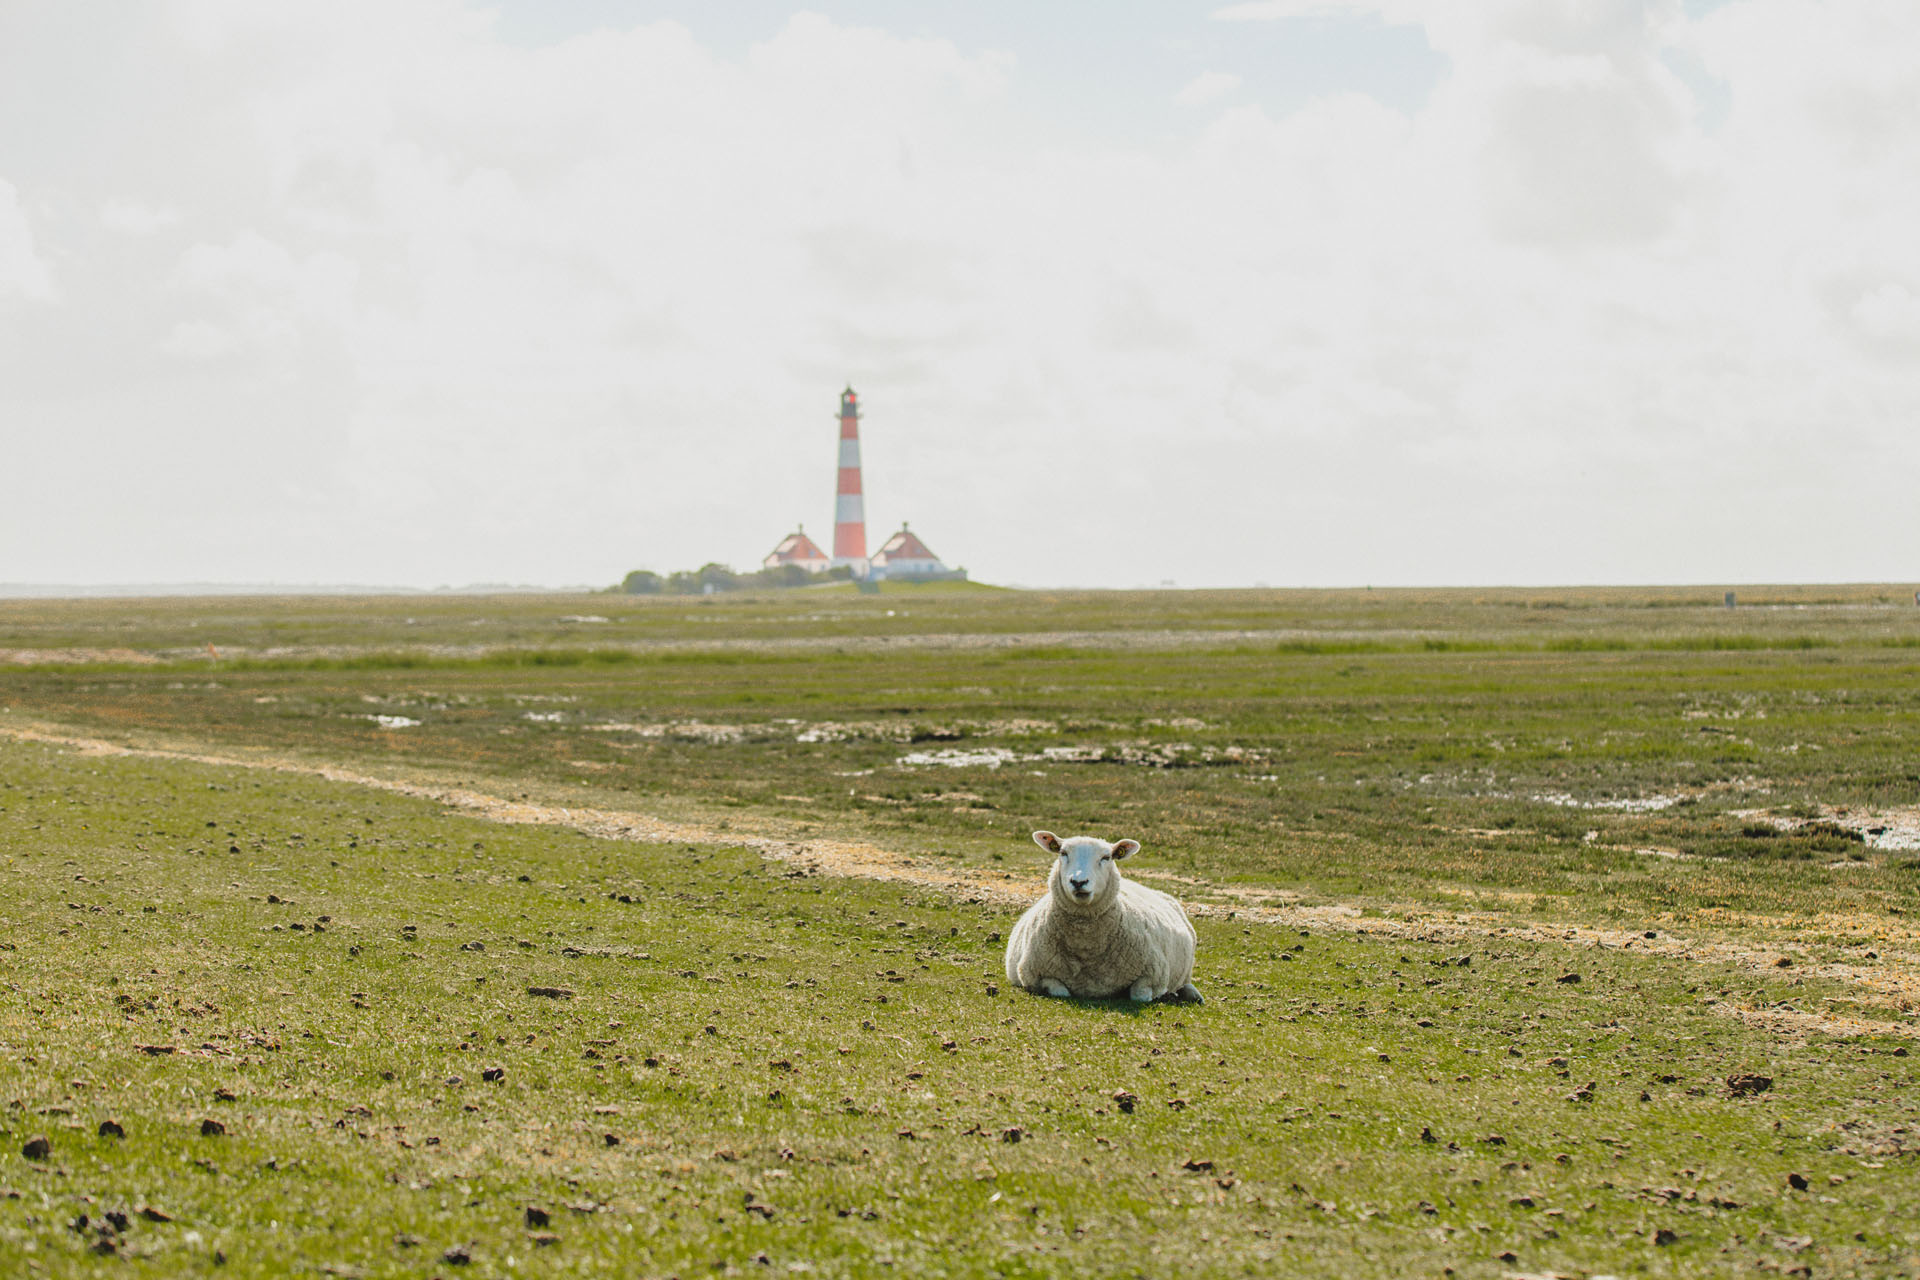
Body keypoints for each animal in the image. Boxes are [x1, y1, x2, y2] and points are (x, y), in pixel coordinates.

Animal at [1006, 836, 1198, 1005]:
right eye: (1063, 853)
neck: (1086, 947)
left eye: (1106, 857)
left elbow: (1139, 995)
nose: (1078, 881)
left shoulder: (1155, 975)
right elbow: (1059, 991)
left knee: (1185, 982)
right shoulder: (1033, 975)